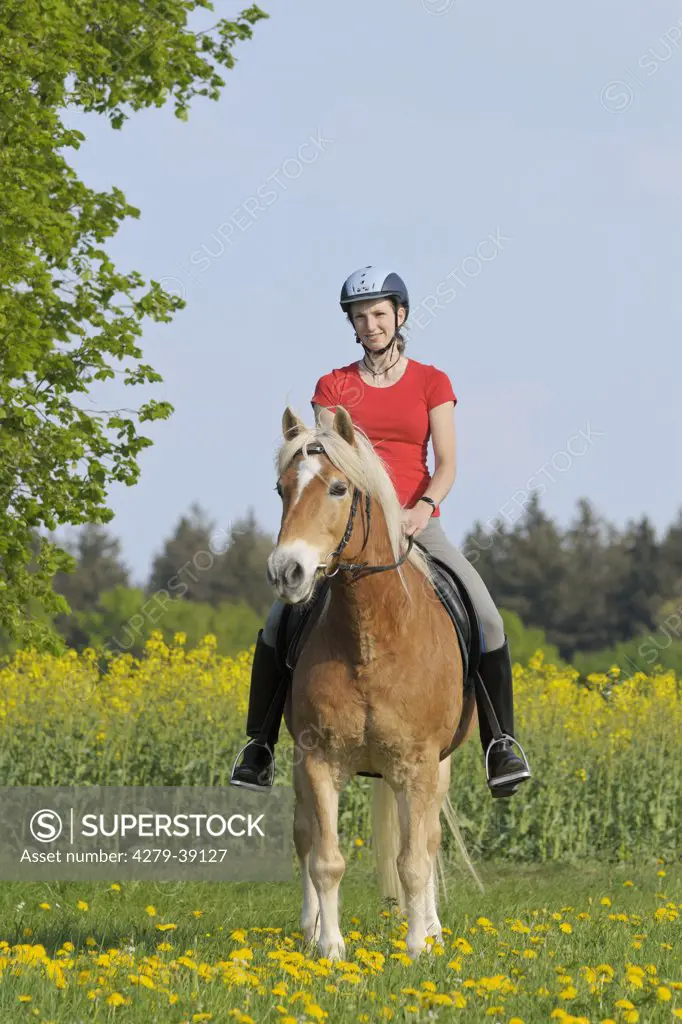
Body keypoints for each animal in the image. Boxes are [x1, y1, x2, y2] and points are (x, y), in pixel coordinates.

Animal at [268, 401, 475, 958]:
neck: (370, 637)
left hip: (435, 771)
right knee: (304, 835)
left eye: (339, 488)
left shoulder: (418, 765)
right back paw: (311, 928)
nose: (287, 571)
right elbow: (327, 859)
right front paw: (330, 949)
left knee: (427, 842)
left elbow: (414, 861)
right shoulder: (318, 760)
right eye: (281, 488)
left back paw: (433, 929)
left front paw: (417, 948)